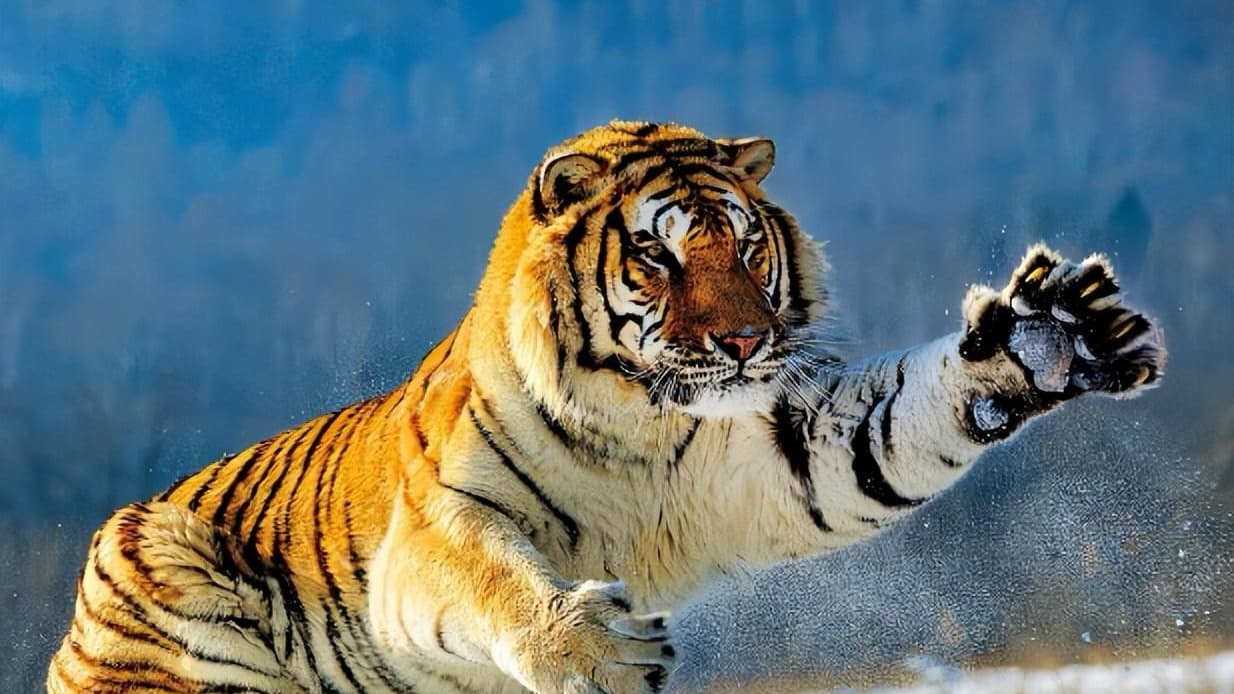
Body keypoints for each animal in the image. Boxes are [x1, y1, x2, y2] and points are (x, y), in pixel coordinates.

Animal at [47, 120, 1165, 694]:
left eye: (745, 245)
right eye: (658, 256)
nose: (745, 340)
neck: (645, 424)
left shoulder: (782, 451)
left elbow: (894, 429)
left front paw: (1047, 340)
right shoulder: (437, 527)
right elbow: (496, 583)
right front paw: (602, 651)